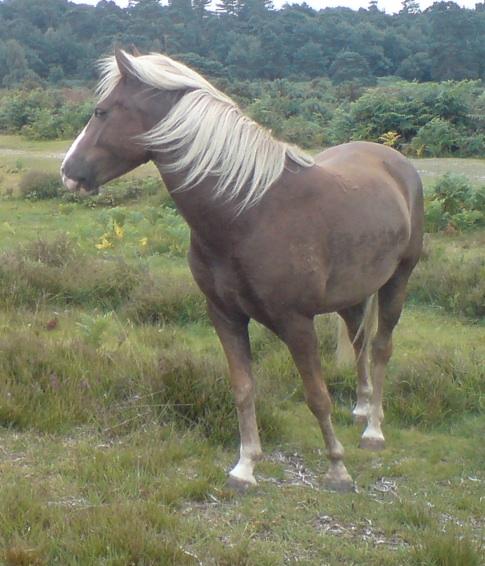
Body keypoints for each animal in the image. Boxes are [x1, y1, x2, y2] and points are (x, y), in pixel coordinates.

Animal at [61, 48, 424, 492]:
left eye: (101, 111)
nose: (68, 172)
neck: (249, 212)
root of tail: (396, 162)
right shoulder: (225, 315)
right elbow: (243, 388)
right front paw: (246, 466)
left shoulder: (297, 322)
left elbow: (316, 395)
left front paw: (337, 468)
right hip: (352, 294)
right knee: (358, 342)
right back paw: (360, 409)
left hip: (398, 280)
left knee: (381, 347)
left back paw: (373, 429)